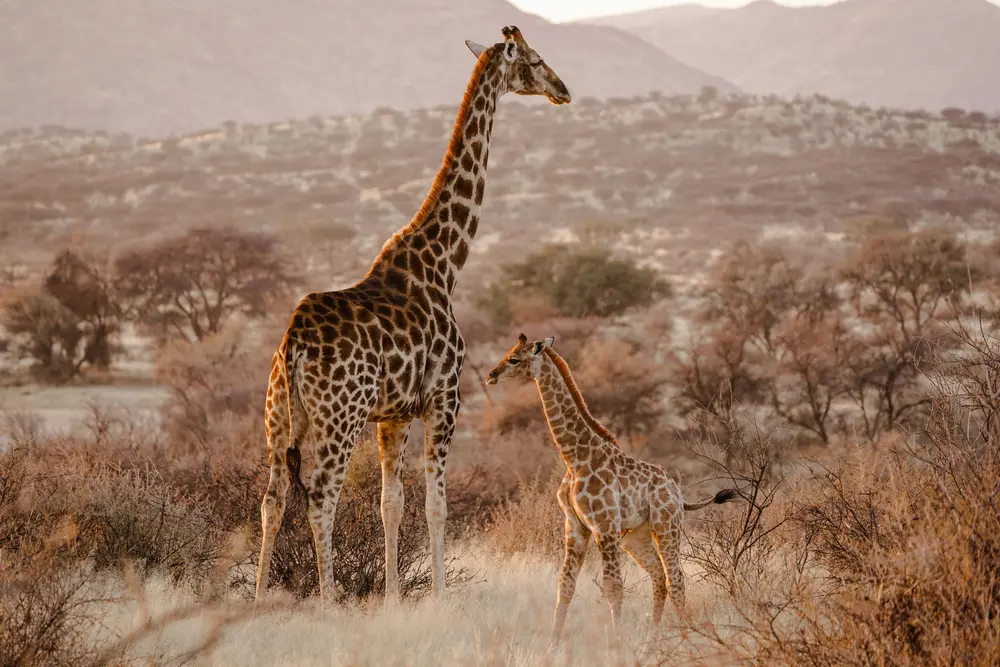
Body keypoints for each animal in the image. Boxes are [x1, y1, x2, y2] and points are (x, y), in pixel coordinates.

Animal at [253, 27, 571, 606]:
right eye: (536, 61)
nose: (563, 90)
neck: (445, 262)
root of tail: (293, 342)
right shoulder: (445, 399)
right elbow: (436, 506)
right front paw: (440, 596)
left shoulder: (394, 415)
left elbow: (391, 504)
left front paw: (394, 598)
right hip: (339, 417)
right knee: (320, 497)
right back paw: (328, 601)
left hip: (279, 418)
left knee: (271, 498)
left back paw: (260, 597)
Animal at [485, 334, 740, 644]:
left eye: (514, 359)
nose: (491, 376)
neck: (575, 457)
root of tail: (678, 493)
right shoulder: (575, 526)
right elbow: (565, 585)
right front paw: (553, 644)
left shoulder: (604, 526)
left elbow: (613, 587)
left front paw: (616, 643)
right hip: (636, 538)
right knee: (659, 577)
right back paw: (653, 637)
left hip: (666, 526)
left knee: (675, 578)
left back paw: (685, 637)